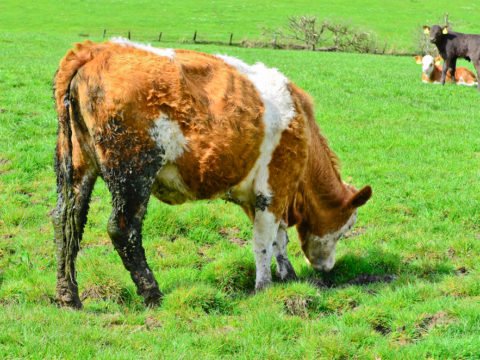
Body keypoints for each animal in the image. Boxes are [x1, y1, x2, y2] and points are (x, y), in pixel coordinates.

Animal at [54, 39, 374, 310]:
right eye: (347, 227)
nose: (327, 268)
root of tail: (96, 49)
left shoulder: (271, 195)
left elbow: (278, 239)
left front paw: (288, 275)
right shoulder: (274, 187)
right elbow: (264, 241)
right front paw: (264, 286)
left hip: (77, 164)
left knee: (67, 220)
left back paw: (68, 296)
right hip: (133, 171)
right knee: (122, 228)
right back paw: (152, 293)